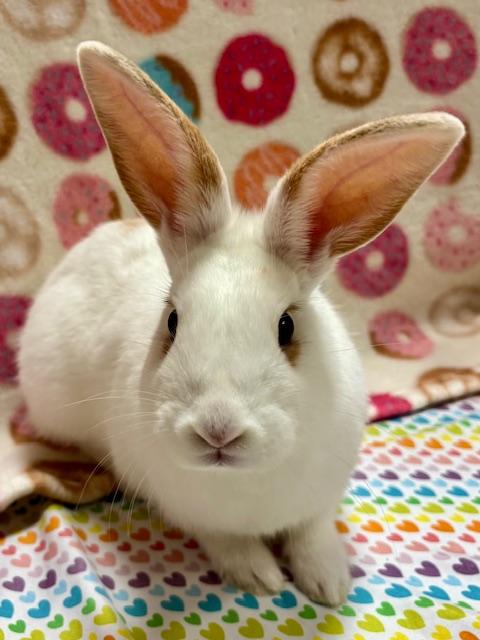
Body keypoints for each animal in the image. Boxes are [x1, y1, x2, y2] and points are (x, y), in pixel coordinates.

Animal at [18, 41, 464, 605]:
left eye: (286, 327)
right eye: (172, 321)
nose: (218, 428)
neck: (246, 482)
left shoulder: (320, 499)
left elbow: (313, 533)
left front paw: (329, 583)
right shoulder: (191, 512)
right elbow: (226, 543)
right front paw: (262, 577)